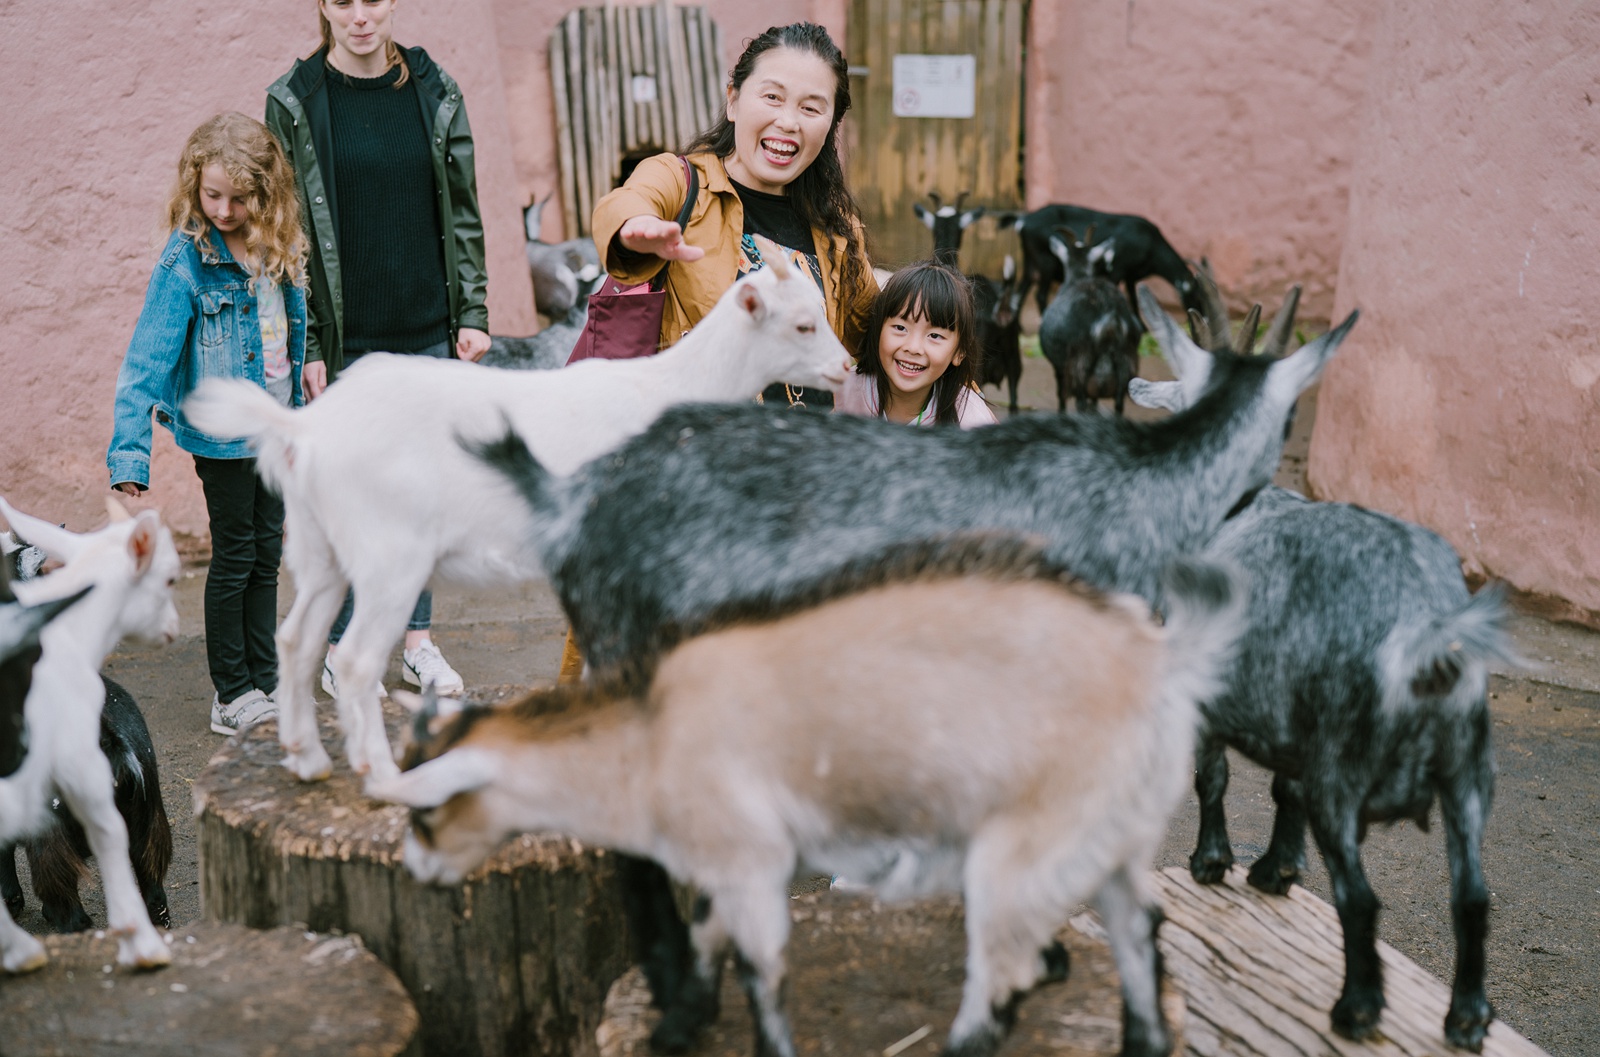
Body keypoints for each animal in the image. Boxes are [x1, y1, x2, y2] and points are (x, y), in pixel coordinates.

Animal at [188, 254, 857, 783]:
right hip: (389, 557)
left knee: (296, 639)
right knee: (352, 662)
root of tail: (307, 427)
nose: (847, 366)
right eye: (802, 324)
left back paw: (308, 760)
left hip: (321, 547)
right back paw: (380, 774)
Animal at [368, 540, 1241, 1055]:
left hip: (1030, 839)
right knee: (1138, 929)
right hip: (1108, 831)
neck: (648, 739)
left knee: (1005, 964)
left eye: (429, 806)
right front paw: (679, 1024)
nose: (415, 868)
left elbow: (763, 969)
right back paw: (1140, 1040)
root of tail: (1157, 660)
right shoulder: (727, 857)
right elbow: (709, 935)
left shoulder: (747, 851)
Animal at [1132, 278, 1516, 1049]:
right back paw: (1466, 1018)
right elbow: (1284, 790)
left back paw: (1357, 1008)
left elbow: (1212, 777)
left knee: (1360, 898)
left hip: (1348, 769)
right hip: (1467, 769)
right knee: (1472, 895)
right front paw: (1276, 869)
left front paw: (1212, 862)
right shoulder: (1291, 717)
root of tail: (1423, 624)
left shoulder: (1204, 689)